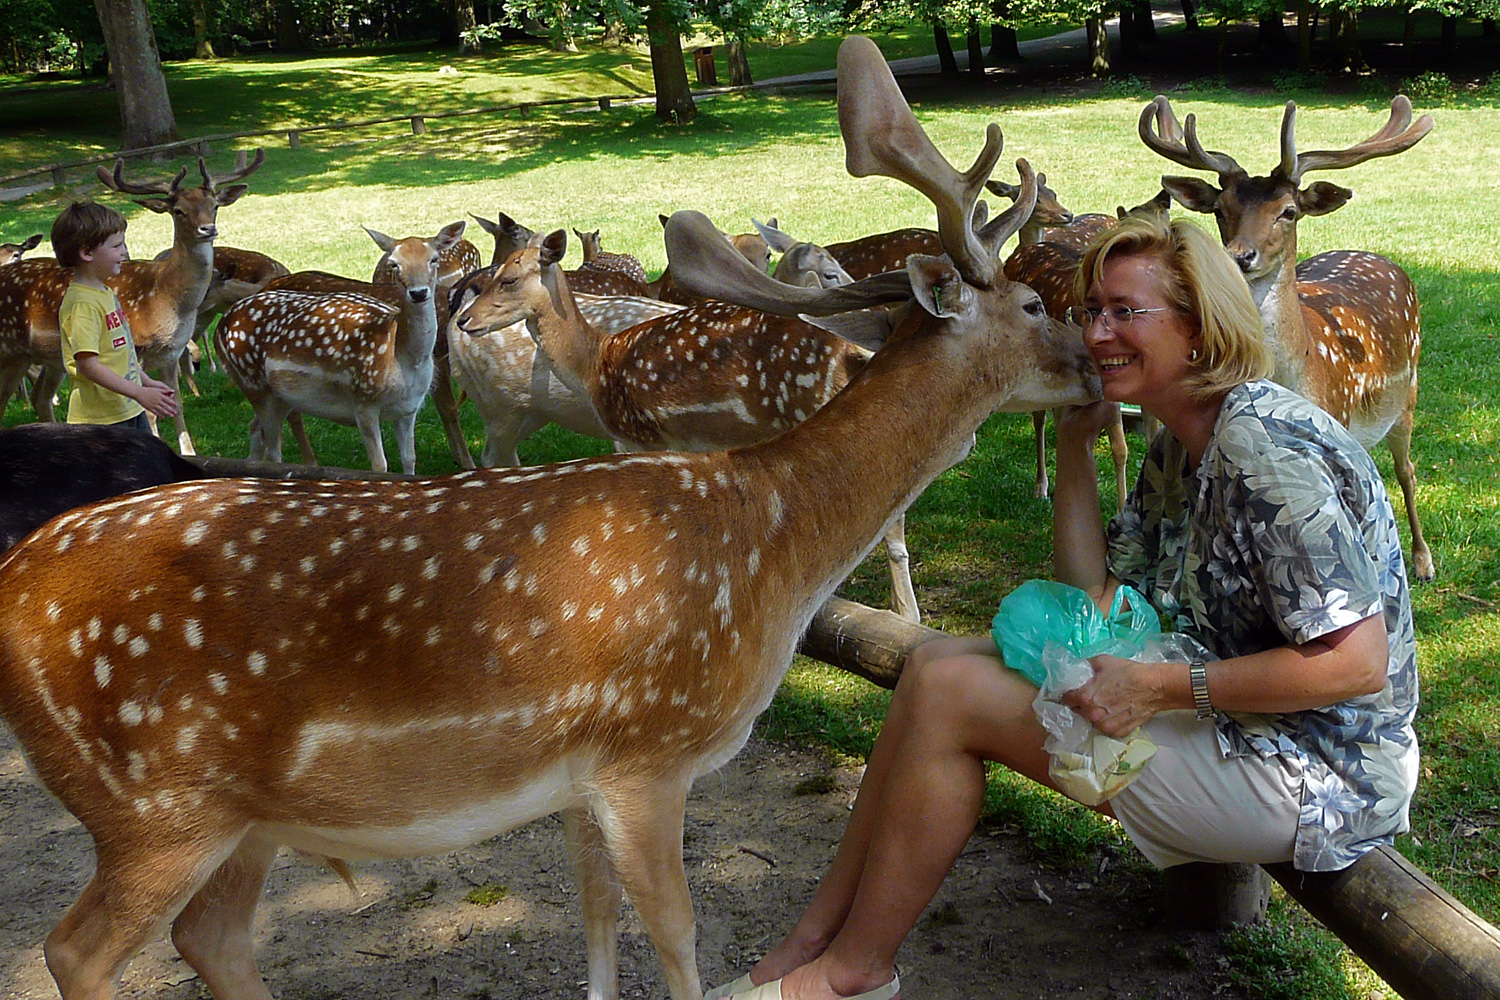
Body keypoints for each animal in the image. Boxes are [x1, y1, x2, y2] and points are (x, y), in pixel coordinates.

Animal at [0, 150, 264, 452]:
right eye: (179, 211)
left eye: (215, 205)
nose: (207, 229)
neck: (165, 298)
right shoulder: (137, 349)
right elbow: (147, 411)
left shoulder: (170, 354)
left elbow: (177, 404)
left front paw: (189, 451)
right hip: (10, 350)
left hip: (51, 357)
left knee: (40, 397)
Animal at [213, 223, 462, 473]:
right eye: (394, 263)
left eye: (434, 259)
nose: (418, 292)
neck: (401, 358)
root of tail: (220, 328)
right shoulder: (363, 402)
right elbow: (379, 465)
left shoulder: (409, 407)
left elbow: (409, 459)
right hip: (254, 383)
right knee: (274, 451)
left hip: (277, 396)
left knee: (256, 431)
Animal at [1140, 94, 1434, 581]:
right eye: (1219, 210)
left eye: (1288, 211)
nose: (1240, 255)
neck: (1299, 372)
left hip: (1409, 388)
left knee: (1406, 469)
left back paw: (1424, 560)